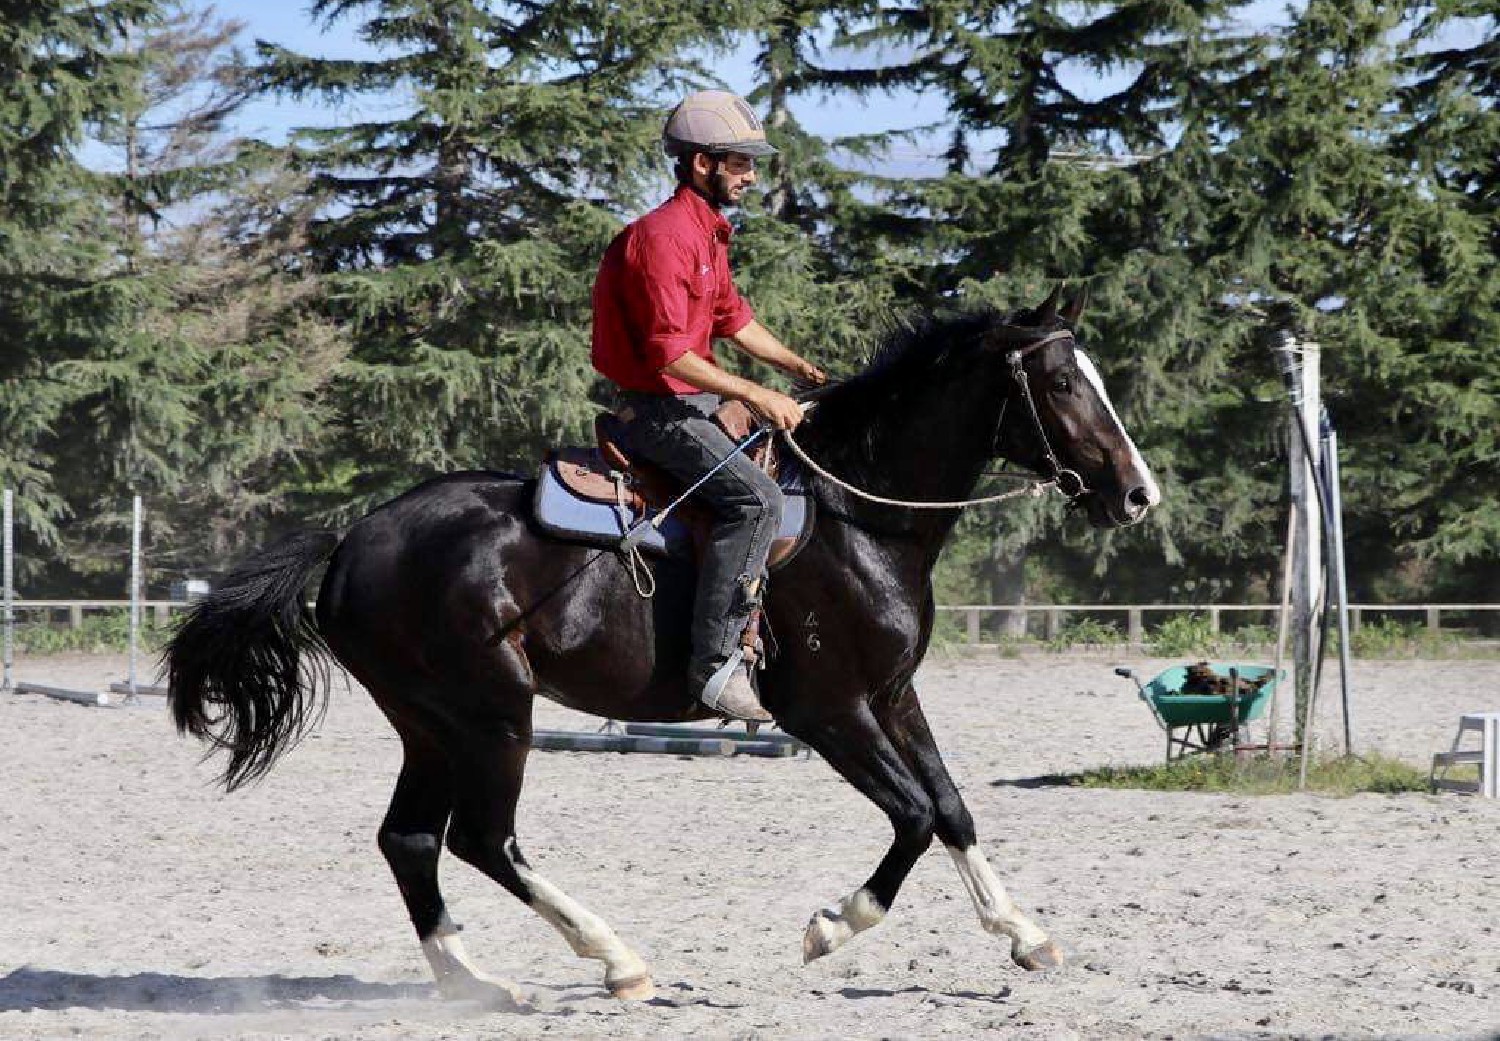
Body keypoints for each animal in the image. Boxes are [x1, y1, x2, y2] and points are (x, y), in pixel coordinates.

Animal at [165, 286, 1159, 1005]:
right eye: (1063, 385)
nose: (1138, 494)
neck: (857, 512)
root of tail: (350, 542)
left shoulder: (894, 695)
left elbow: (952, 809)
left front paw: (1025, 933)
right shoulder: (829, 711)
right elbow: (913, 815)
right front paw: (831, 925)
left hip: (431, 724)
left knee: (410, 838)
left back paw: (477, 981)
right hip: (490, 714)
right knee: (483, 837)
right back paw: (615, 959)